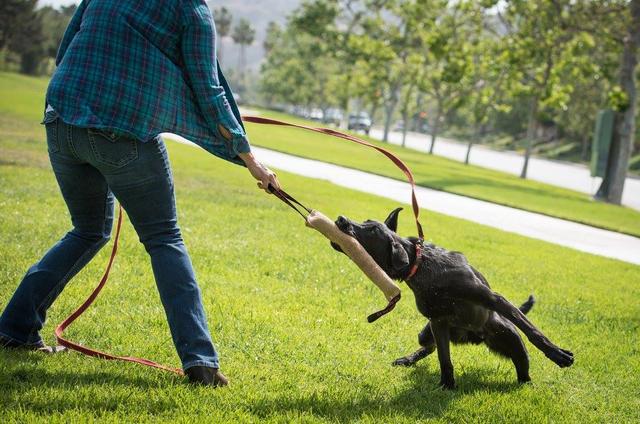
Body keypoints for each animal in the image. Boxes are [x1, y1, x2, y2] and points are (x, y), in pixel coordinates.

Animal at [332, 207, 572, 390]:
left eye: (372, 229)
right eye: (366, 222)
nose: (341, 219)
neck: (422, 266)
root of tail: (473, 337)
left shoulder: (493, 299)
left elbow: (533, 331)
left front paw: (557, 353)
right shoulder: (438, 322)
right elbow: (444, 358)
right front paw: (447, 385)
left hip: (511, 339)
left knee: (523, 366)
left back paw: (527, 383)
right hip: (426, 333)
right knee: (428, 347)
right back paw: (408, 359)